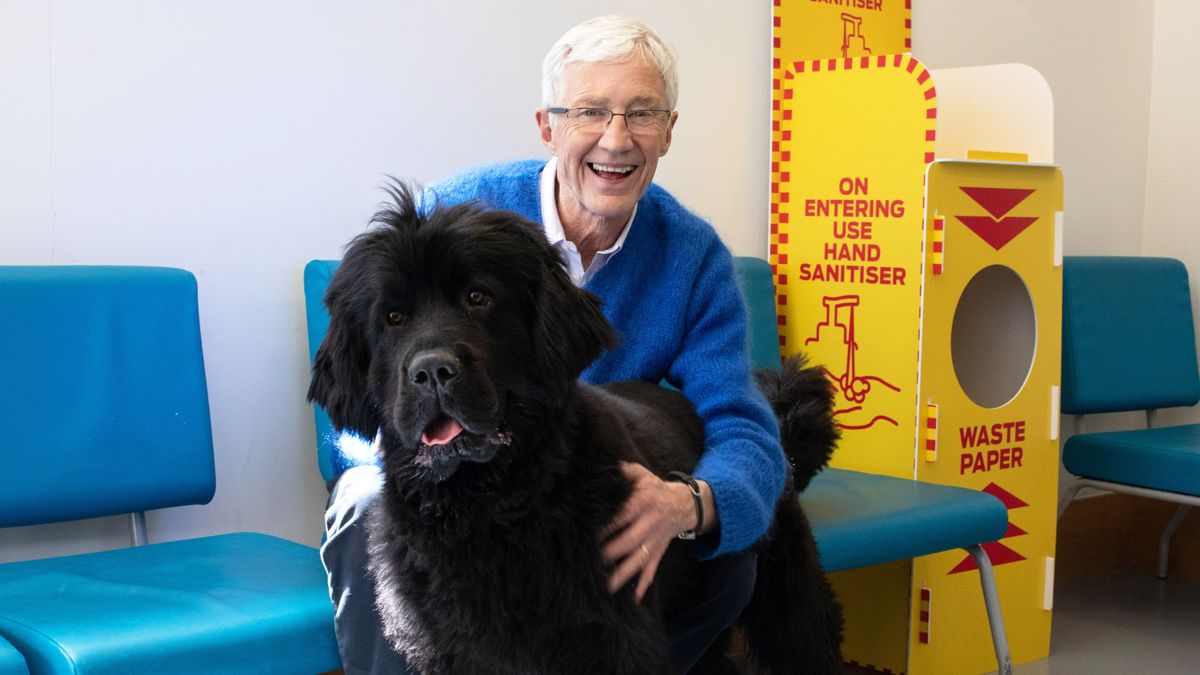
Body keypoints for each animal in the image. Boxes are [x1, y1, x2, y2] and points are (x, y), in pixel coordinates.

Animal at [309, 183, 844, 672]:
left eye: (477, 297)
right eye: (393, 317)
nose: (432, 370)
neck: (488, 504)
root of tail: (772, 421)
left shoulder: (609, 637)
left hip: (787, 598)